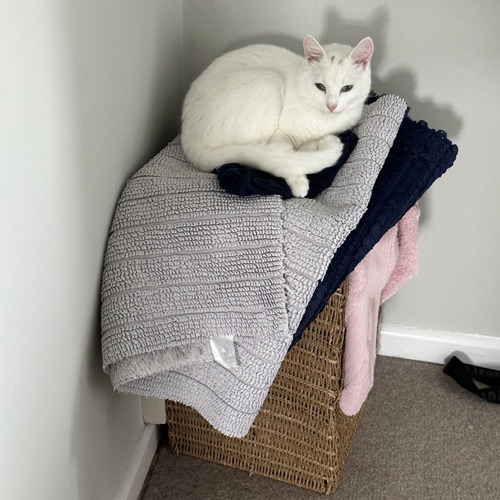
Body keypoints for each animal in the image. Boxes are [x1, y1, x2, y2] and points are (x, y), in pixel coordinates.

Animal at [182, 35, 374, 197]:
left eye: (347, 88)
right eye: (320, 86)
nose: (331, 106)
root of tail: (189, 141)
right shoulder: (280, 135)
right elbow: (286, 160)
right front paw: (299, 184)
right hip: (269, 81)